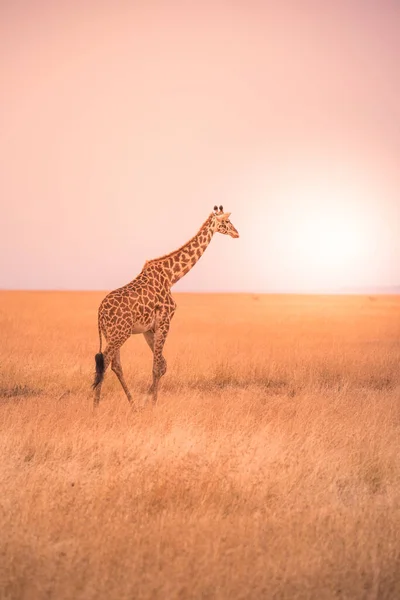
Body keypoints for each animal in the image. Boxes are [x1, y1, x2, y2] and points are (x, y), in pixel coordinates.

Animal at [92, 206, 239, 408]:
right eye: (227, 222)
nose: (236, 233)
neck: (172, 276)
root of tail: (100, 312)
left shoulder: (149, 328)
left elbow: (162, 364)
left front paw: (146, 401)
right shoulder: (165, 320)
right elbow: (157, 366)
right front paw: (152, 403)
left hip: (112, 334)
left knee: (115, 364)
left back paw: (132, 404)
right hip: (120, 333)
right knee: (105, 361)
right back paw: (96, 406)